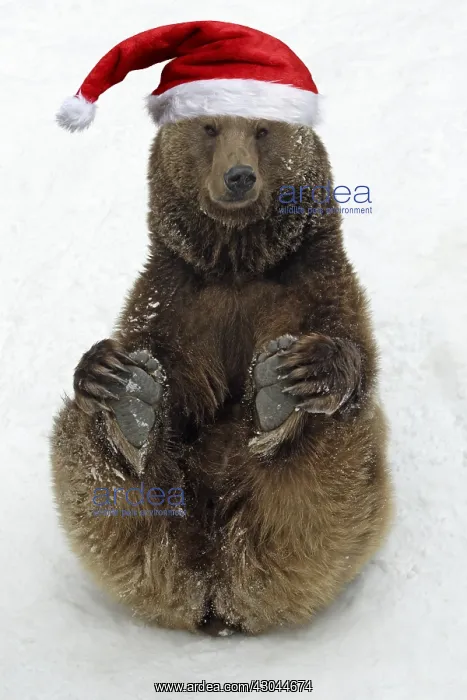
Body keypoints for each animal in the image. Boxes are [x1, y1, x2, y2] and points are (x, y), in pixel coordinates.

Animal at [51, 115, 393, 635]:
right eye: (210, 127)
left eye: (262, 130)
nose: (239, 177)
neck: (237, 262)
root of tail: (214, 586)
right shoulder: (172, 299)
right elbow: (169, 378)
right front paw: (109, 372)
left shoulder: (315, 281)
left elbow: (354, 350)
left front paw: (312, 367)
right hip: (164, 531)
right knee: (94, 456)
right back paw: (128, 404)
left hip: (328, 526)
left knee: (320, 471)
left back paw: (277, 396)